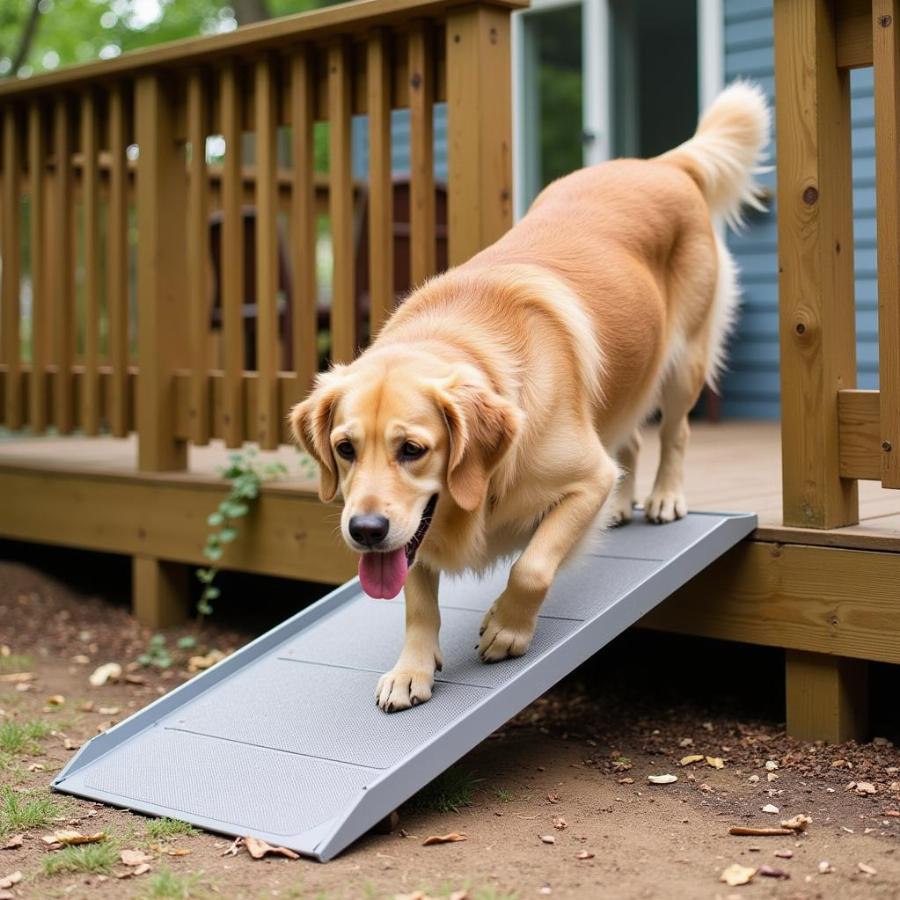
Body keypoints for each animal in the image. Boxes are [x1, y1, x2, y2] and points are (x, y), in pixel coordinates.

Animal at [292, 82, 768, 712]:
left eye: (412, 450)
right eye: (345, 449)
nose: (364, 531)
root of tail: (663, 164)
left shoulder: (584, 478)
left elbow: (533, 565)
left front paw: (506, 628)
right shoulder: (411, 536)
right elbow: (416, 597)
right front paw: (411, 669)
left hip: (682, 361)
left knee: (673, 432)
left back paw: (665, 497)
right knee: (629, 442)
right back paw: (623, 505)